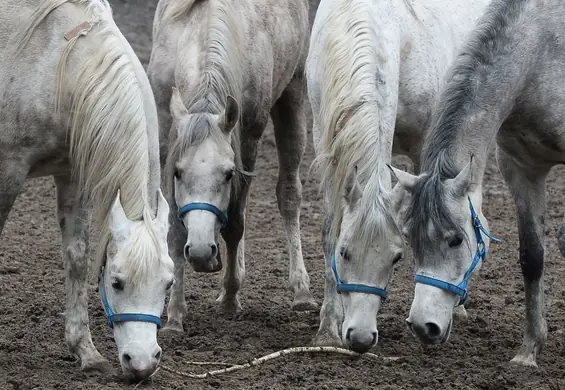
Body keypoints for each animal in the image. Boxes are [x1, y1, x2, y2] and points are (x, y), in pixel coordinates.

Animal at [0, 0, 172, 380]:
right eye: (117, 282)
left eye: (168, 284)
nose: (141, 363)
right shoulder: (9, 171)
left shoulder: (72, 174)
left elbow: (77, 257)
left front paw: (86, 351)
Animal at [148, 0, 316, 330]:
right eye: (178, 173)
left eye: (227, 174)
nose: (201, 252)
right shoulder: (166, 139)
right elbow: (174, 227)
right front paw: (174, 314)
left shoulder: (248, 138)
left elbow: (235, 223)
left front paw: (229, 297)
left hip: (293, 92)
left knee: (288, 194)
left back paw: (301, 291)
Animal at [304, 0, 490, 354]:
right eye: (344, 252)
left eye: (396, 258)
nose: (361, 338)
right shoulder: (326, 145)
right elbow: (328, 229)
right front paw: (327, 329)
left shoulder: (424, 146)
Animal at [390, 0, 564, 368]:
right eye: (410, 239)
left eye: (456, 239)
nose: (423, 326)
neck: (542, 52)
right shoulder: (520, 168)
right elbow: (532, 256)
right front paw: (529, 350)